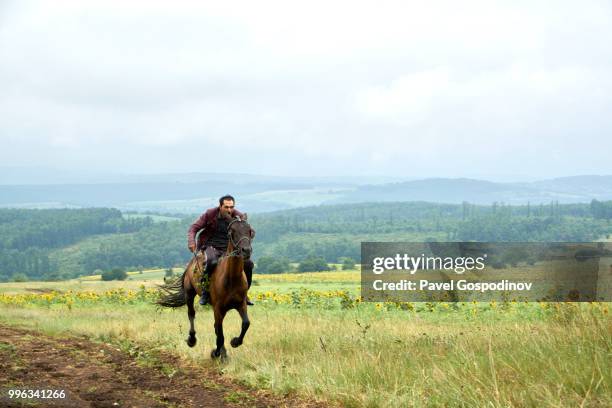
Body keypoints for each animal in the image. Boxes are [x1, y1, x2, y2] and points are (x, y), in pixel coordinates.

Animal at [158, 215, 256, 358]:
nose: (246, 251)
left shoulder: (240, 304)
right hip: (189, 294)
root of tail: (192, 262)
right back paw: (192, 340)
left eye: (249, 231)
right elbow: (220, 335)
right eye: (232, 231)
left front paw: (235, 342)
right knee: (191, 314)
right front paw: (216, 353)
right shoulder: (218, 308)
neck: (231, 278)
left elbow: (245, 324)